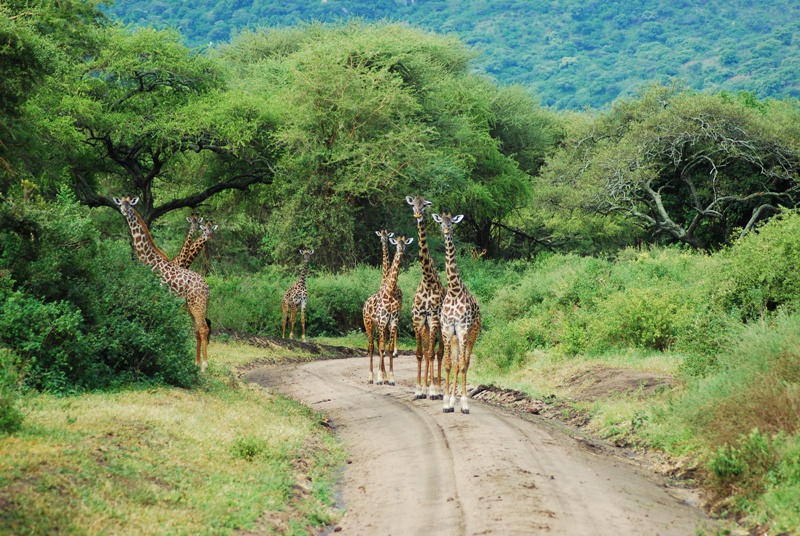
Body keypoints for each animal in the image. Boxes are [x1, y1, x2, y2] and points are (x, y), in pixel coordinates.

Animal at [114, 197, 212, 372]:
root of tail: (207, 288)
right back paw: (195, 363)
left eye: (130, 205)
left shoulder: (157, 295)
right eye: (120, 204)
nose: (124, 211)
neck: (150, 261)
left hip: (197, 305)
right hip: (191, 306)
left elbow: (158, 321)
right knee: (197, 329)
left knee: (203, 328)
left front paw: (158, 349)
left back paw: (204, 366)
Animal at [362, 234, 412, 386]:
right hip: (369, 324)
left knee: (378, 345)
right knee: (372, 347)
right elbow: (382, 348)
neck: (390, 292)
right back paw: (370, 377)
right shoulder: (382, 321)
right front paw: (379, 378)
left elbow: (387, 349)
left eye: (405, 243)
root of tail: (365, 304)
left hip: (380, 326)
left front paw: (390, 378)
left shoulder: (393, 321)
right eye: (396, 244)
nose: (402, 250)